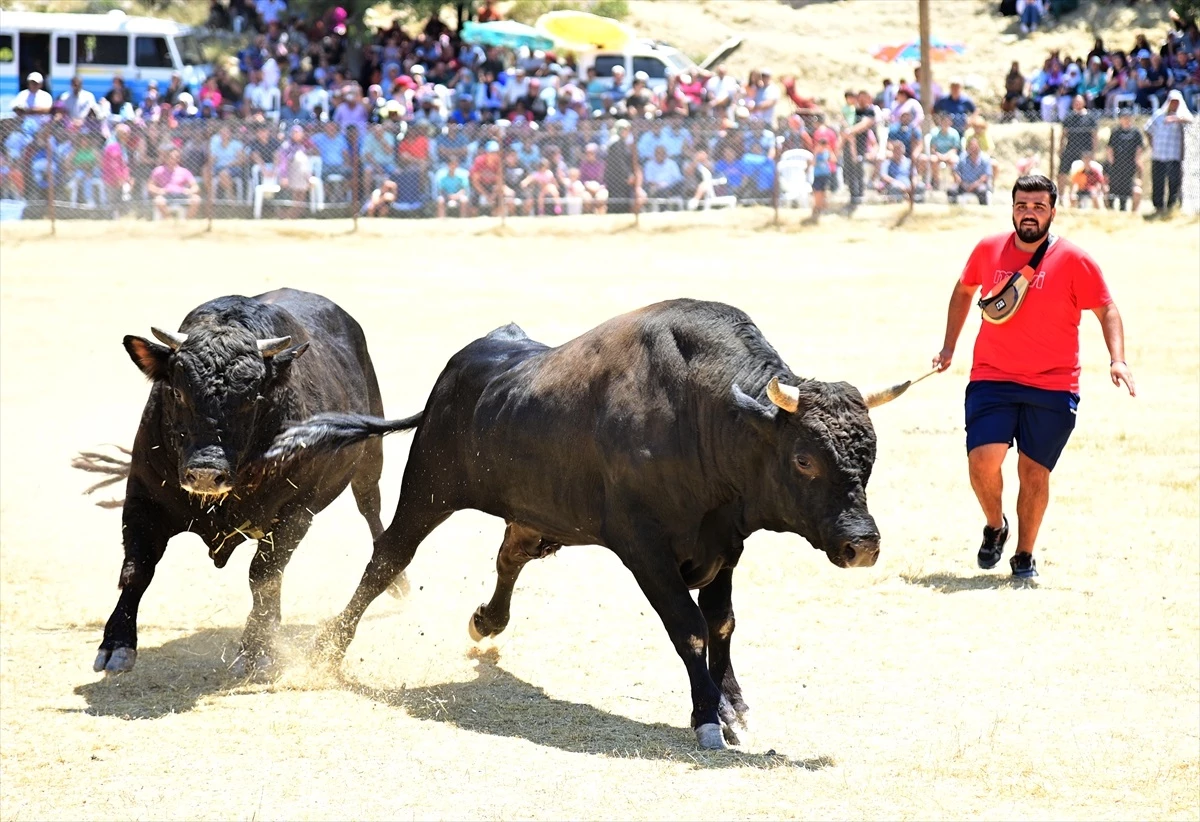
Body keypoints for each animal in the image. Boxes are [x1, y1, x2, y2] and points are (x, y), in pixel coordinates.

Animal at [94, 291, 393, 676]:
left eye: (252, 399)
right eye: (177, 392)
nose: (206, 473)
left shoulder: (296, 513)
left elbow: (263, 576)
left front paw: (256, 649)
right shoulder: (142, 498)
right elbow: (136, 569)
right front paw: (116, 645)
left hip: (371, 459)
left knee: (371, 509)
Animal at [265, 300, 916, 748]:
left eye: (871, 454)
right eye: (804, 459)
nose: (862, 544)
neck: (704, 414)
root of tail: (456, 375)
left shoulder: (724, 545)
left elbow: (723, 624)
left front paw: (733, 708)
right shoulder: (645, 548)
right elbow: (690, 628)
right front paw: (706, 717)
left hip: (534, 513)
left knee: (509, 557)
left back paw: (486, 620)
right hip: (427, 491)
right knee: (386, 561)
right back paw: (326, 650)